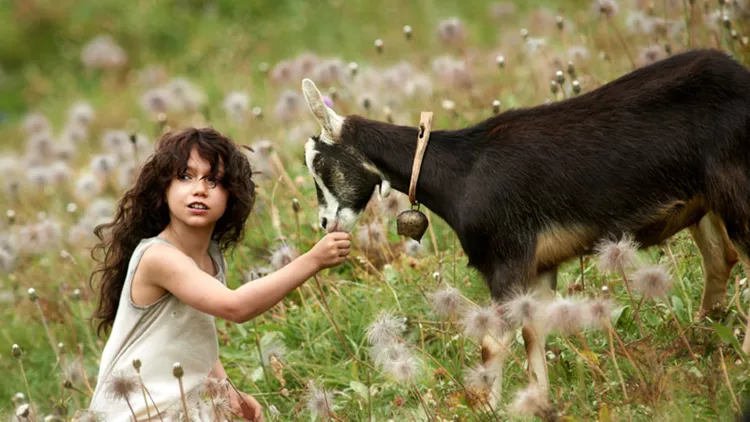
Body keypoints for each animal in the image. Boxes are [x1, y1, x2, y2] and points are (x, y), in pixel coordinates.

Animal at [298, 47, 750, 404]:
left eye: (320, 163)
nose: (325, 223)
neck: (463, 171)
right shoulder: (539, 266)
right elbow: (535, 334)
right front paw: (538, 402)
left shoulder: (507, 259)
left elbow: (492, 342)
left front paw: (489, 408)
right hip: (706, 204)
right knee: (720, 260)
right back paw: (705, 342)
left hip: (737, 191)